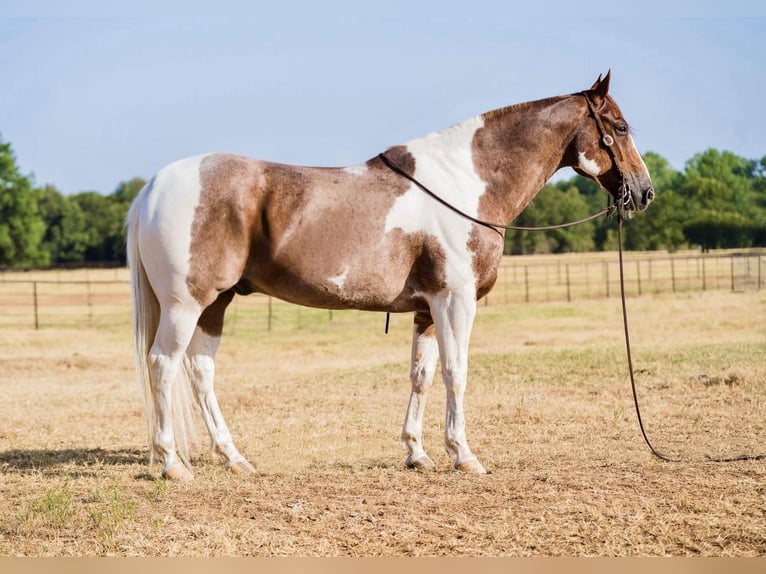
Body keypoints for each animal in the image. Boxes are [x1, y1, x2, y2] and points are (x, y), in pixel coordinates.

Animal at [127, 73, 656, 486]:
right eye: (620, 127)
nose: (645, 191)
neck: (465, 184)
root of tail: (152, 187)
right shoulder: (455, 300)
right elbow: (457, 372)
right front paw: (464, 455)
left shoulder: (427, 309)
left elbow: (422, 375)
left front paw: (417, 453)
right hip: (185, 304)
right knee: (163, 365)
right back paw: (173, 464)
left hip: (214, 305)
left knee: (200, 372)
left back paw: (234, 459)